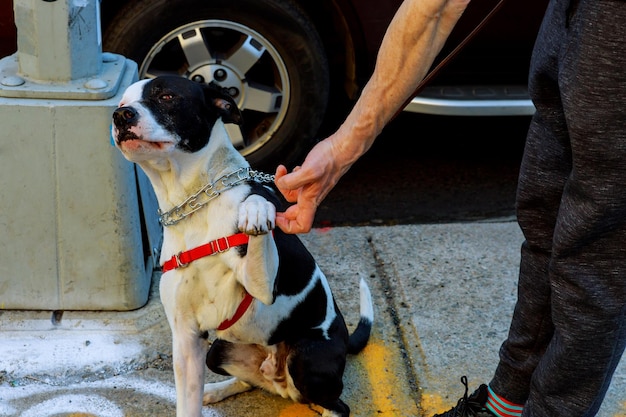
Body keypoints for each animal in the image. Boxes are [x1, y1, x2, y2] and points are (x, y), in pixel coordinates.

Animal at [111, 76, 370, 414]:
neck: (193, 206)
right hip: (218, 350)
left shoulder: (261, 285)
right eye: (121, 103)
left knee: (335, 405)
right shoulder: (186, 338)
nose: (120, 116)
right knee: (253, 381)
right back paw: (216, 390)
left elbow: (257, 210)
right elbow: (187, 404)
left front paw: (256, 209)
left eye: (166, 96)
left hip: (306, 357)